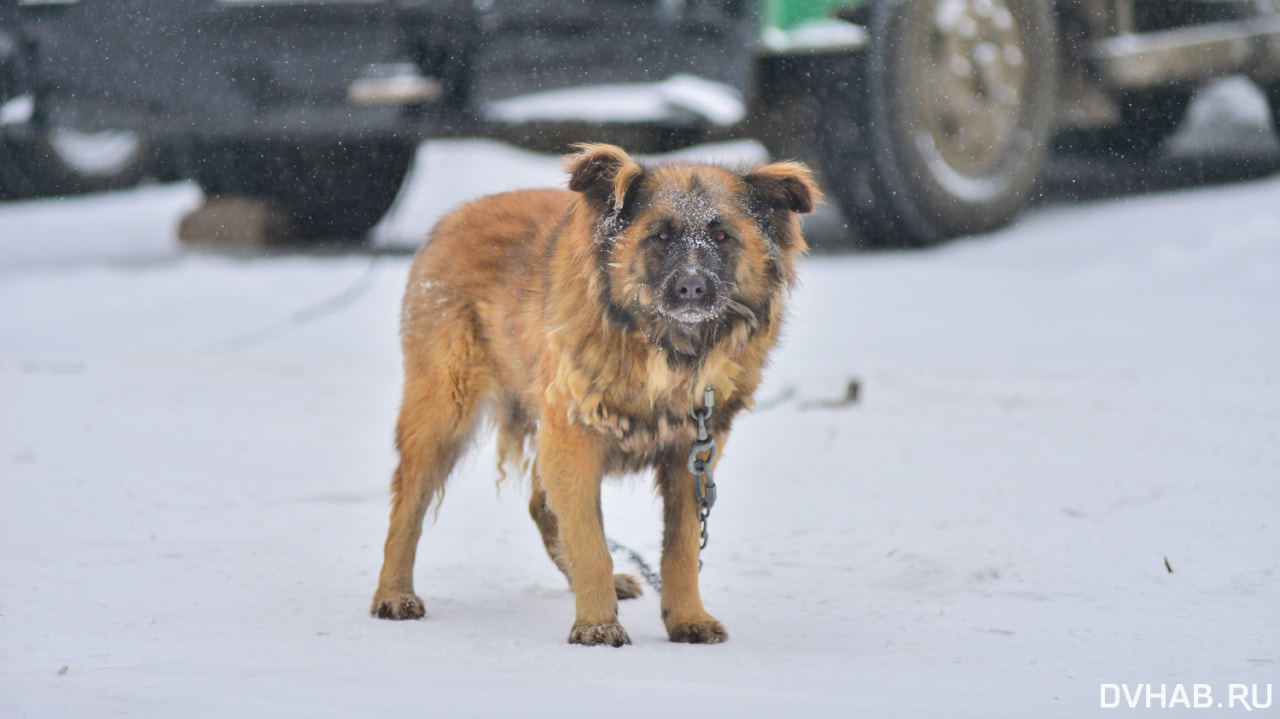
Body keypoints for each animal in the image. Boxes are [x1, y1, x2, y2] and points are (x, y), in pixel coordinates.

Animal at [371, 141, 814, 644]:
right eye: (661, 235)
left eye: (721, 236)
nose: (693, 287)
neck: (665, 351)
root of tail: (455, 217)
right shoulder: (574, 440)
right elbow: (590, 543)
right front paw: (597, 623)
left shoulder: (691, 455)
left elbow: (680, 548)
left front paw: (687, 618)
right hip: (442, 415)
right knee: (407, 509)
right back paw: (394, 593)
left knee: (540, 506)